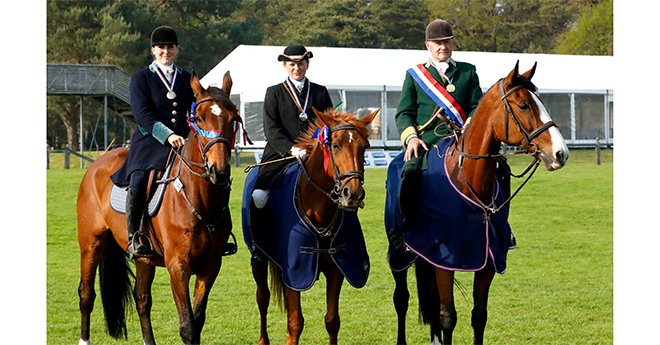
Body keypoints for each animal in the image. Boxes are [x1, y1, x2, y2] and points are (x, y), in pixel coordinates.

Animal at [76, 70, 240, 344]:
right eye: (198, 118)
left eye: (234, 118)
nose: (219, 171)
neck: (199, 198)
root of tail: (96, 163)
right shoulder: (178, 266)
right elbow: (188, 327)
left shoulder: (210, 266)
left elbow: (198, 322)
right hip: (91, 242)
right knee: (86, 294)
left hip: (144, 257)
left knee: (141, 298)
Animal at [242, 106, 376, 342]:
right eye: (335, 145)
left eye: (364, 147)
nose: (353, 194)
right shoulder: (295, 270)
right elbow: (295, 323)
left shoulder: (337, 268)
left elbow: (332, 321)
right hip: (258, 259)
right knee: (262, 298)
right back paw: (263, 340)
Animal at [386, 62, 568, 344]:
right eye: (524, 105)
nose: (561, 153)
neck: (468, 180)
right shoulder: (445, 258)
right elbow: (448, 316)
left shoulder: (488, 258)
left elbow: (479, 316)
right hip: (400, 255)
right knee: (402, 299)